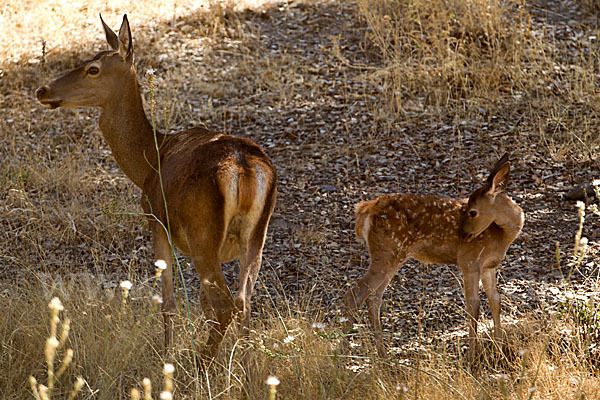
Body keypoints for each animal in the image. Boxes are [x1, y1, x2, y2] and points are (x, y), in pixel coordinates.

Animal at [34, 14, 276, 358]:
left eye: (93, 68)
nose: (42, 90)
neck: (148, 160)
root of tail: (243, 167)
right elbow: (200, 304)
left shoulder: (156, 222)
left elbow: (169, 302)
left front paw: (167, 355)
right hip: (257, 234)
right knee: (244, 302)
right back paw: (240, 362)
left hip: (203, 233)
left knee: (227, 305)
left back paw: (203, 362)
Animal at [344, 153, 524, 356]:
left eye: (472, 212)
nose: (463, 235)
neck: (502, 235)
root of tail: (366, 210)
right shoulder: (469, 260)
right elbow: (474, 304)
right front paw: (472, 356)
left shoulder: (488, 266)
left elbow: (495, 299)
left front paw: (499, 349)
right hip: (387, 252)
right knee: (354, 295)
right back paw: (343, 354)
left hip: (392, 256)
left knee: (373, 298)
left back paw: (383, 356)